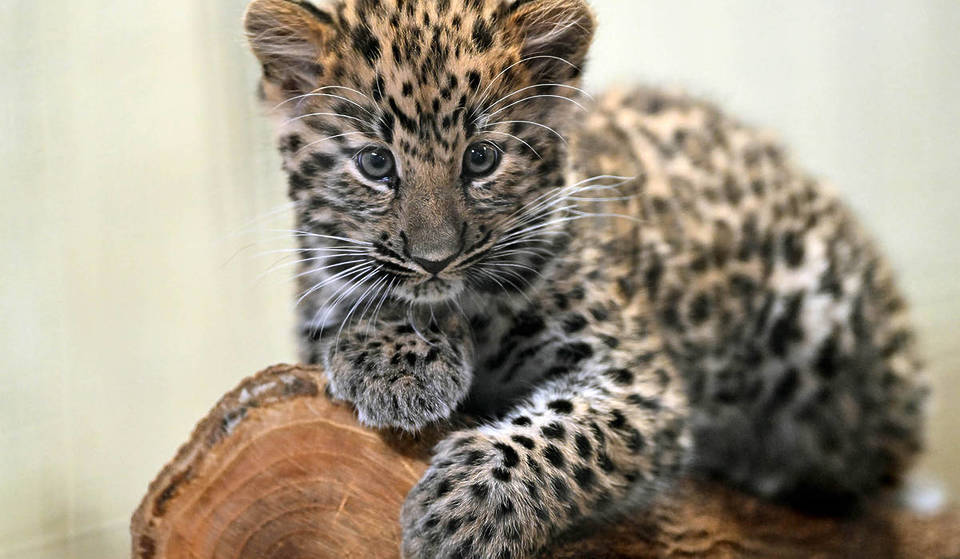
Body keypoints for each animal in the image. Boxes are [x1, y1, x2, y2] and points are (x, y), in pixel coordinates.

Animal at [243, 0, 929, 557]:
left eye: (481, 159)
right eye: (375, 164)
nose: (436, 258)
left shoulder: (639, 381)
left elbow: (561, 436)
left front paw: (463, 509)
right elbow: (357, 292)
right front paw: (397, 360)